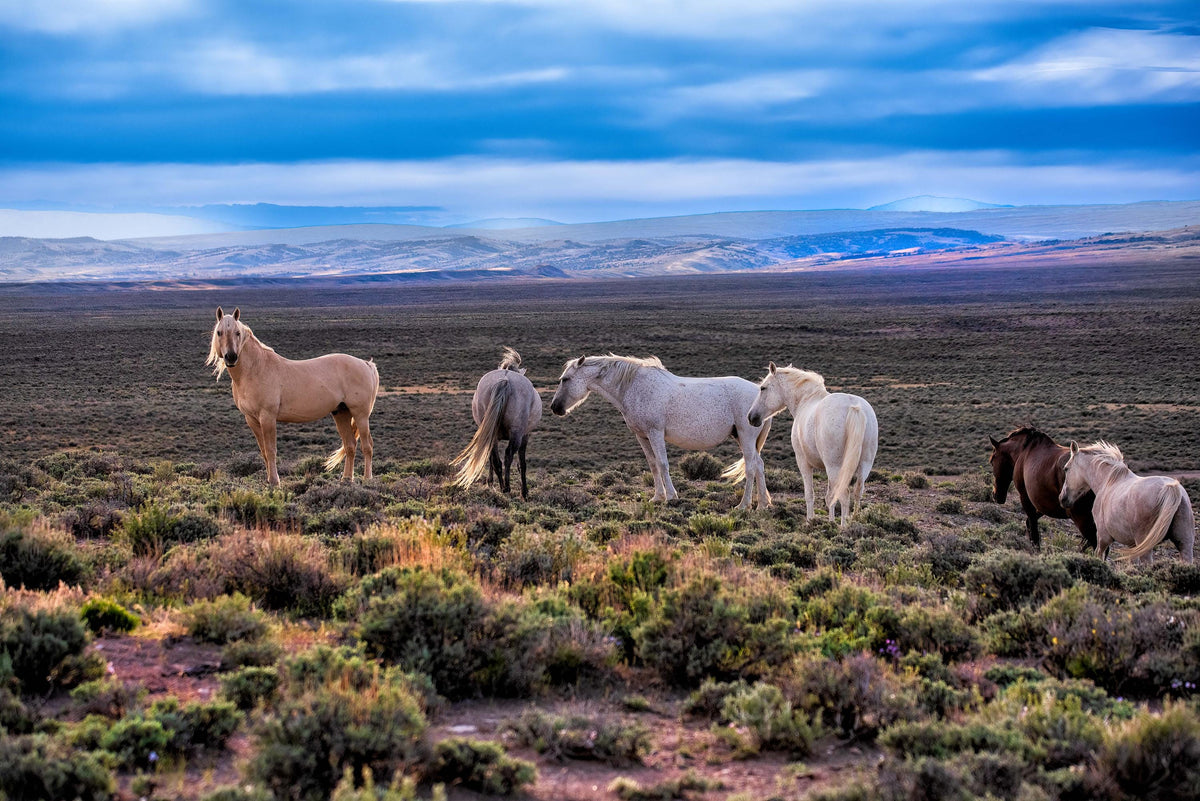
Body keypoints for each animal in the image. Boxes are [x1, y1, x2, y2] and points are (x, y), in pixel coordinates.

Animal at [206, 307, 379, 486]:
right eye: (219, 332)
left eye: (237, 332)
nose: (231, 357)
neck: (256, 369)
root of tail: (366, 364)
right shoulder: (252, 419)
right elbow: (263, 451)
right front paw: (269, 480)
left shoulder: (267, 417)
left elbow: (271, 450)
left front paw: (275, 481)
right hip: (341, 413)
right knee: (350, 445)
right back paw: (346, 479)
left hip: (360, 414)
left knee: (367, 446)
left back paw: (367, 479)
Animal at [452, 347, 543, 499]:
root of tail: (505, 379)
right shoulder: (525, 435)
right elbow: (522, 464)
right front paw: (524, 492)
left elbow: (489, 458)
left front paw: (490, 482)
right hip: (516, 433)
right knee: (508, 455)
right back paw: (507, 487)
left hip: (491, 433)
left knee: (496, 461)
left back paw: (501, 486)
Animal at [549, 354, 772, 509]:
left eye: (566, 379)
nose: (555, 407)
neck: (634, 387)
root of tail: (759, 394)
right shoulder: (642, 436)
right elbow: (653, 464)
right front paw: (657, 497)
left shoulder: (655, 433)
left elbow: (663, 464)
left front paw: (671, 496)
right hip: (742, 438)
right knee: (759, 465)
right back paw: (762, 504)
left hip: (745, 437)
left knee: (751, 467)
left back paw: (743, 505)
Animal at [747, 364, 877, 526]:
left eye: (763, 388)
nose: (751, 417)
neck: (806, 400)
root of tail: (854, 407)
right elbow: (829, 497)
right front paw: (830, 522)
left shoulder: (803, 462)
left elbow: (810, 494)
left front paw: (810, 521)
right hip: (864, 464)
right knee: (858, 491)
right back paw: (854, 521)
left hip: (835, 467)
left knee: (845, 495)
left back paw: (844, 527)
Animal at [1060, 440, 1194, 563]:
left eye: (1066, 469)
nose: (1062, 498)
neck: (1108, 481)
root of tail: (1171, 488)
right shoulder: (1131, 545)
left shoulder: (1103, 538)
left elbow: (1099, 555)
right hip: (1185, 545)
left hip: (1144, 545)